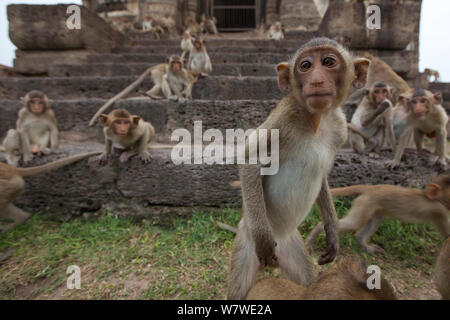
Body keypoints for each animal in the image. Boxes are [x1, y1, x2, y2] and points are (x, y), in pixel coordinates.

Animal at [229, 37, 370, 300]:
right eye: (305, 66)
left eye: (328, 62)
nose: (316, 80)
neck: (316, 119)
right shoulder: (284, 116)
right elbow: (249, 159)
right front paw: (264, 238)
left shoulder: (339, 126)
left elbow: (323, 175)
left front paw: (332, 231)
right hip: (246, 242)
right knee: (238, 292)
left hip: (293, 248)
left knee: (307, 282)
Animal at [306, 175, 450, 255]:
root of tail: (371, 188)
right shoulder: (439, 211)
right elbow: (447, 236)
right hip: (364, 204)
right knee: (354, 224)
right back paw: (318, 231)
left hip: (372, 207)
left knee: (374, 220)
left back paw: (363, 243)